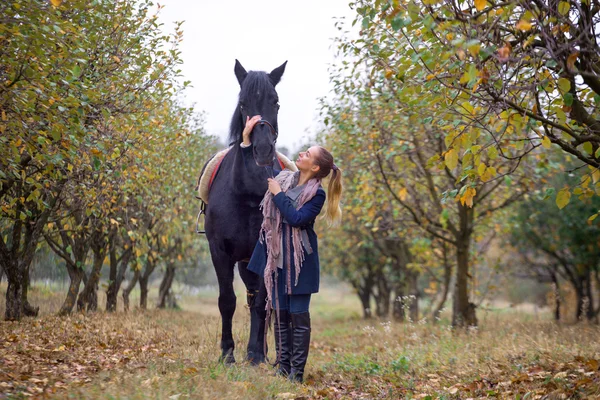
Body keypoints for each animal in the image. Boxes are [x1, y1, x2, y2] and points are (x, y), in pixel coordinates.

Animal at [205, 60, 290, 366]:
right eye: (243, 104)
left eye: (275, 102)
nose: (263, 150)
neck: (247, 192)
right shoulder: (219, 251)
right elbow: (226, 300)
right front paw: (227, 353)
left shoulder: (264, 251)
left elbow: (263, 302)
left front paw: (255, 354)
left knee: (260, 301)